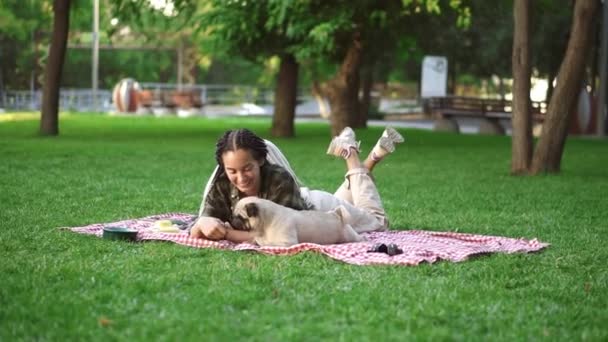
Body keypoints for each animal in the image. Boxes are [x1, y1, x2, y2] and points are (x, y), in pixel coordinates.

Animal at [229, 196, 364, 247]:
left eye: (240, 217)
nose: (231, 219)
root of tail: (335, 214)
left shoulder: (287, 242)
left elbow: (268, 244)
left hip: (349, 236)